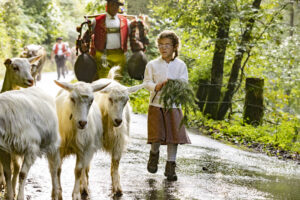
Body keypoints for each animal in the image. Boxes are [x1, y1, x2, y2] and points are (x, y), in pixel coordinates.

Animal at [94, 67, 144, 197]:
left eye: (126, 100)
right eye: (110, 99)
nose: (118, 120)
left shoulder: (119, 141)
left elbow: (116, 163)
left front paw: (117, 189)